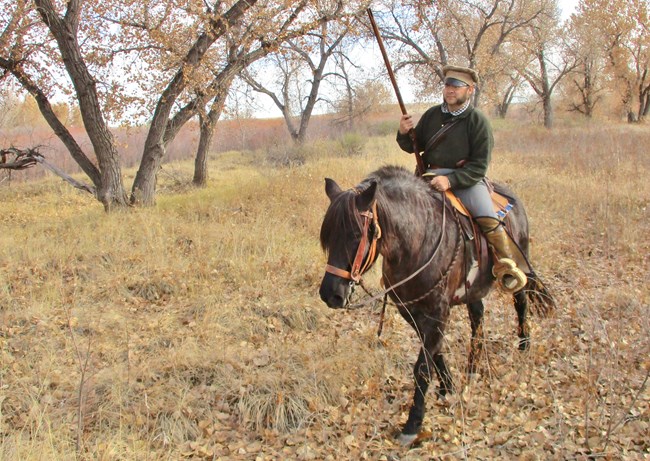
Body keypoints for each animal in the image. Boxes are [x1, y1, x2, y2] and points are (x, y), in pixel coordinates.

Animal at [318, 165, 554, 445]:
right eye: (328, 237)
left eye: (356, 235)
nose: (330, 294)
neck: (416, 242)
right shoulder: (412, 310)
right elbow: (435, 351)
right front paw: (447, 388)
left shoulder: (438, 310)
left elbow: (422, 366)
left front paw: (413, 424)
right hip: (474, 289)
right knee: (478, 318)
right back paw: (473, 367)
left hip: (520, 268)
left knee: (521, 302)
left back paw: (524, 346)